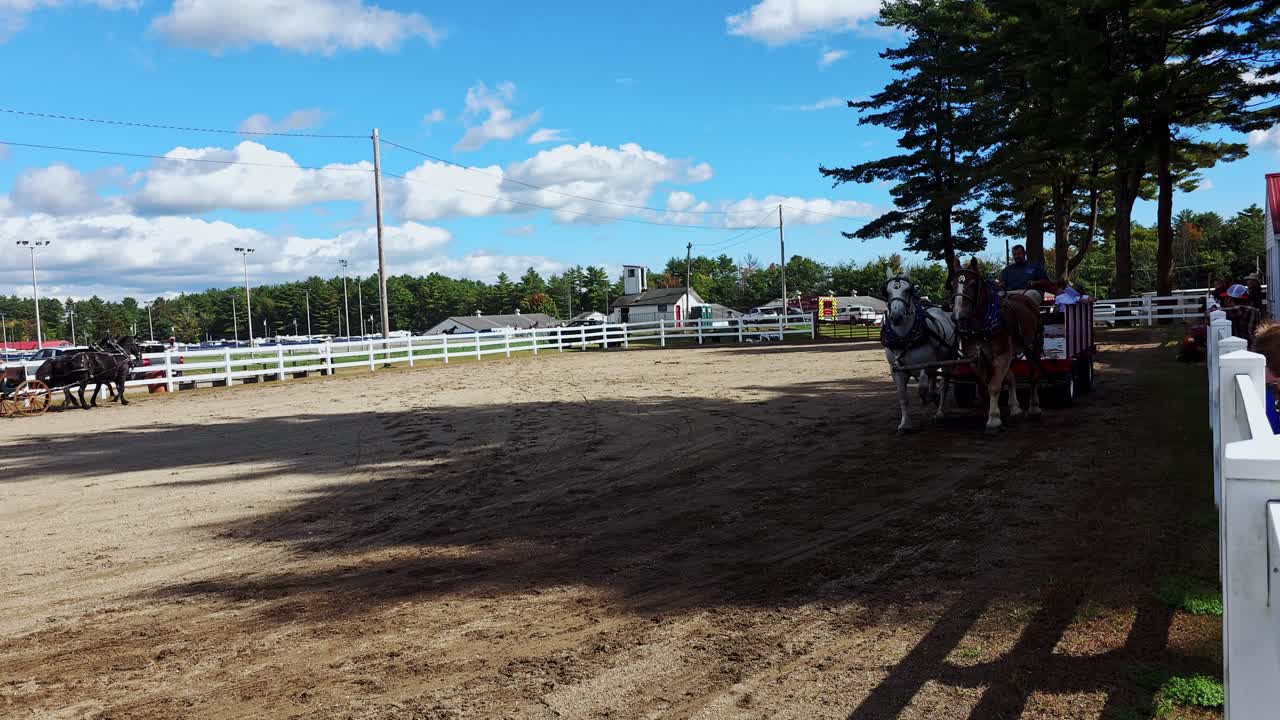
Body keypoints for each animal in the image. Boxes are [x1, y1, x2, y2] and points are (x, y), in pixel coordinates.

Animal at [880, 269, 959, 433]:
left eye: (908, 290)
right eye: (887, 292)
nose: (896, 316)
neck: (904, 338)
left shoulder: (927, 365)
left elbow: (924, 387)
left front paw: (930, 398)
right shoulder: (896, 370)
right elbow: (903, 397)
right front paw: (905, 424)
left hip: (947, 360)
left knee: (943, 385)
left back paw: (939, 412)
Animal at [951, 257, 1044, 432]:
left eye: (973, 283)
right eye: (952, 284)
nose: (958, 315)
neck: (983, 324)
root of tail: (1026, 298)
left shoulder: (1001, 355)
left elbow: (994, 386)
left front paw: (994, 419)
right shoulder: (976, 358)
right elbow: (985, 386)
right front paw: (991, 412)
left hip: (1032, 345)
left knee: (1034, 375)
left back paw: (1034, 408)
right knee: (1011, 377)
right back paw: (1015, 409)